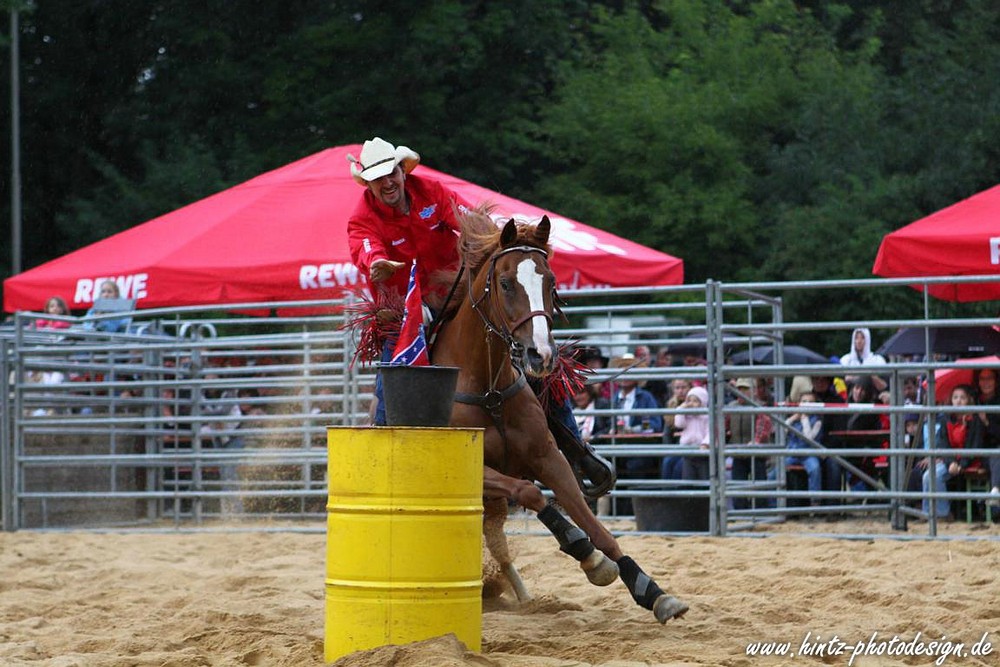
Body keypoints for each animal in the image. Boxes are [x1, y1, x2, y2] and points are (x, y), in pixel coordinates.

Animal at [432, 211, 688, 624]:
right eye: (505, 283)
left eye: (550, 282)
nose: (540, 354)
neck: (488, 389)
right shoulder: (474, 471)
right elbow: (533, 492)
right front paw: (585, 553)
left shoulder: (549, 458)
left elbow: (595, 524)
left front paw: (652, 591)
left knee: (499, 545)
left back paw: (521, 595)